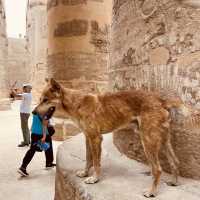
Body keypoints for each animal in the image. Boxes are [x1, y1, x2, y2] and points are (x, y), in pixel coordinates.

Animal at [34, 78, 183, 197]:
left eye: (45, 100)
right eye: (40, 100)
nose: (33, 112)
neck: (77, 103)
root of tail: (161, 101)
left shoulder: (95, 138)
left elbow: (96, 161)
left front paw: (95, 178)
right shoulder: (88, 137)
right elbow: (88, 159)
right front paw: (85, 173)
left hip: (148, 140)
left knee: (157, 169)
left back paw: (151, 192)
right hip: (163, 140)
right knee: (175, 161)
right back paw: (174, 182)